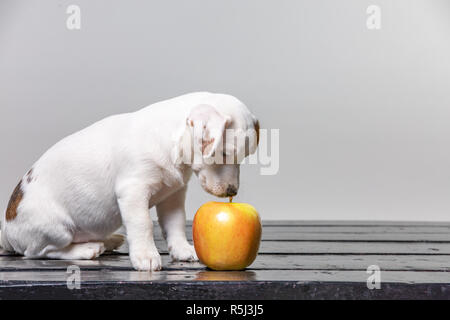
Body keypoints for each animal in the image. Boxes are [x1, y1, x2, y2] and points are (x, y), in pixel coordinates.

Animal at [0, 92, 258, 270]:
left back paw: (109, 240)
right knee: (41, 251)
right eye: (223, 153)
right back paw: (87, 249)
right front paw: (146, 256)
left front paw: (183, 250)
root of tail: (7, 232)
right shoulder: (133, 192)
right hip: (56, 228)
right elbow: (143, 224)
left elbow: (175, 224)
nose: (232, 191)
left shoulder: (173, 195)